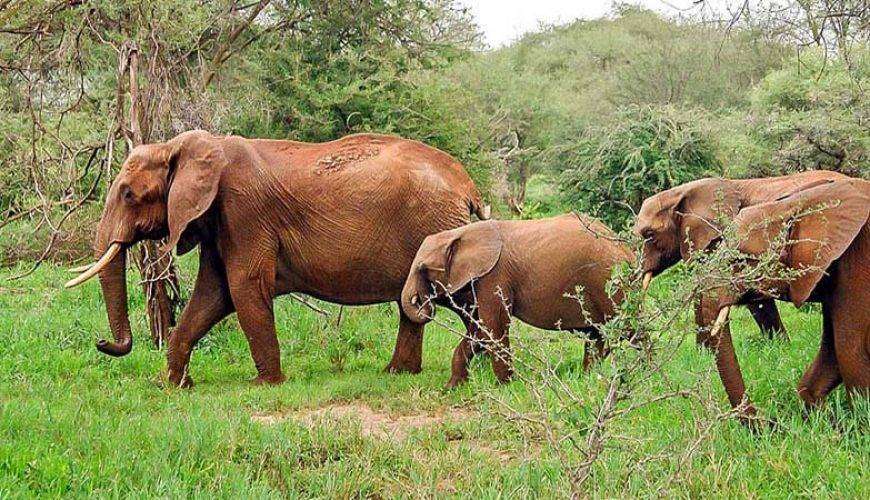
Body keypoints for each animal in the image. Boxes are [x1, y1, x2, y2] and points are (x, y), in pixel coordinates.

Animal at [66, 130, 490, 386]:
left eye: (128, 194)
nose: (103, 342)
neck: (190, 147)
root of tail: (467, 184)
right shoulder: (219, 221)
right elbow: (212, 295)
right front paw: (173, 385)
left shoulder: (243, 211)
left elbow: (244, 287)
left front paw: (264, 384)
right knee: (415, 305)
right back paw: (397, 374)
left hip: (437, 230)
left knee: (466, 299)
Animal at [402, 213, 632, 388]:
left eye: (423, 269)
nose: (423, 302)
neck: (461, 233)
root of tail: (628, 251)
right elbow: (480, 331)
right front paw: (452, 387)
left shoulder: (494, 276)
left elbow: (494, 327)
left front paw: (504, 386)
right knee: (597, 335)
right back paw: (588, 378)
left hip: (609, 282)